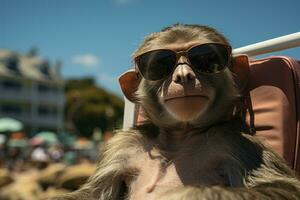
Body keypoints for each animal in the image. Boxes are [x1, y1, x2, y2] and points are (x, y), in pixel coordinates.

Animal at [50, 23, 300, 200]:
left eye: (208, 58)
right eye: (158, 64)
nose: (183, 75)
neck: (180, 135)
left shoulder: (238, 142)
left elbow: (285, 186)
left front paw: (191, 195)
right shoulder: (122, 145)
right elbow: (91, 194)